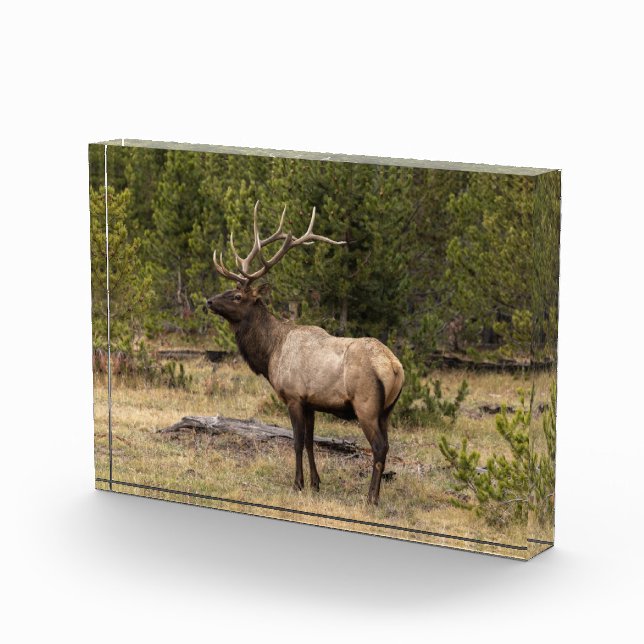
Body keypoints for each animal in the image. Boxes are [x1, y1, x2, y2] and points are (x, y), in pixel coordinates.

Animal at [207, 202, 404, 505]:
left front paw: (297, 484)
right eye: (228, 290)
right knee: (388, 444)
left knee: (379, 447)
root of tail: (394, 367)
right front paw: (316, 483)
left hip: (366, 405)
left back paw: (371, 498)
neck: (270, 353)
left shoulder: (294, 396)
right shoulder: (311, 402)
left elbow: (297, 441)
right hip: (388, 410)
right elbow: (312, 442)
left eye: (237, 297)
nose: (209, 300)